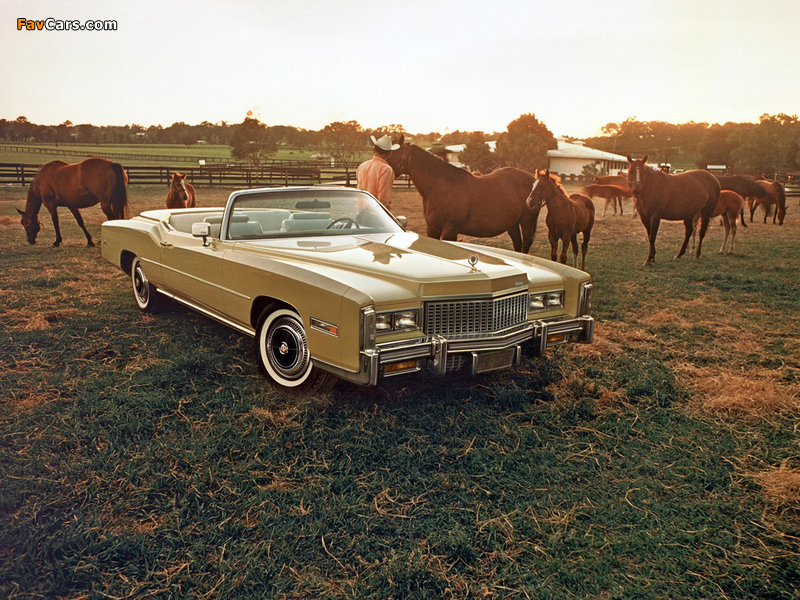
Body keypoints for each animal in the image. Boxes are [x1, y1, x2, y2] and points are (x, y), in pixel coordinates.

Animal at [386, 136, 540, 253]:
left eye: (391, 153)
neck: (441, 188)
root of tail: (533, 179)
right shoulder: (432, 229)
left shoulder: (450, 231)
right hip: (513, 224)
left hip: (526, 221)